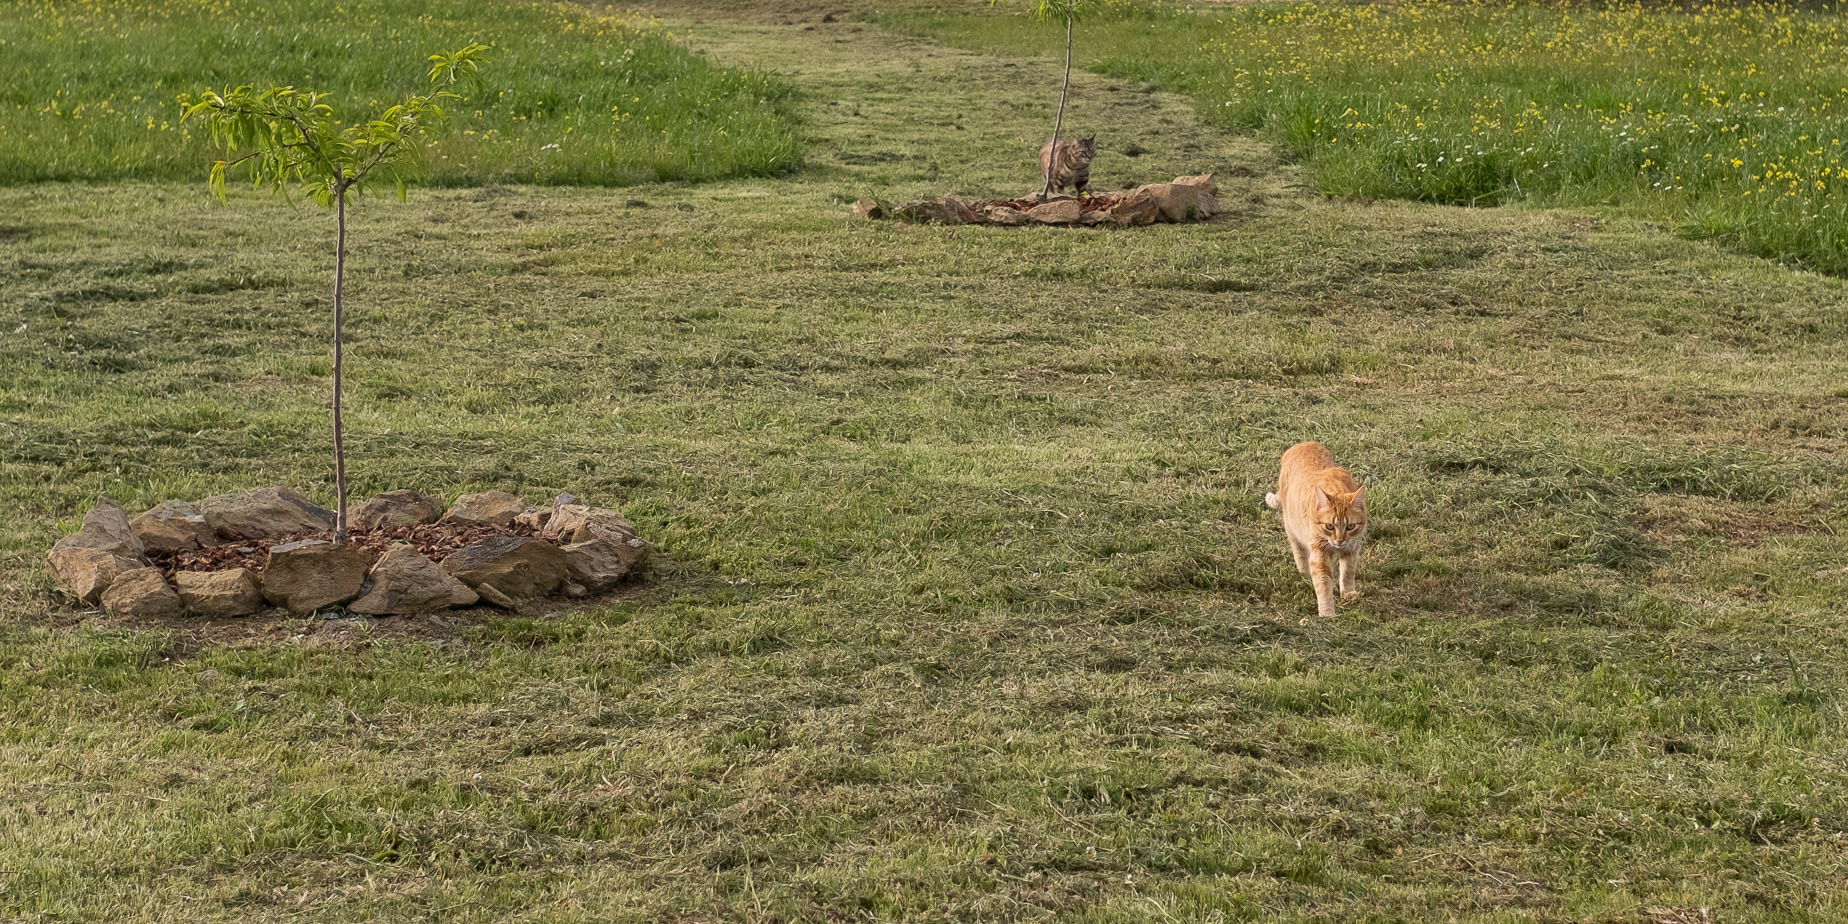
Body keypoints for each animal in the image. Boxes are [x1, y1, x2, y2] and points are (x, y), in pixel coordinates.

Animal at [1264, 441, 1367, 617]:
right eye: (1329, 526)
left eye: (1350, 526)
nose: (1339, 540)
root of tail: (1303, 443)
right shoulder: (1319, 557)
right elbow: (1323, 585)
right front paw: (1327, 613)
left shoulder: (1352, 548)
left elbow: (1348, 572)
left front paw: (1348, 593)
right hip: (1292, 529)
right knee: (1299, 552)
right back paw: (1304, 572)